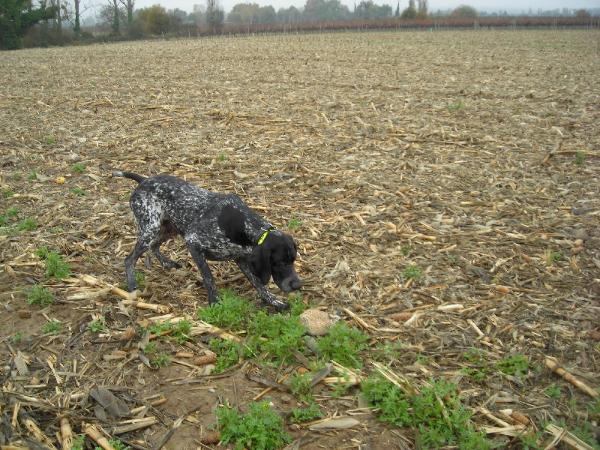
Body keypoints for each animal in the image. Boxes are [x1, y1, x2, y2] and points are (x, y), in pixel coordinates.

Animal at [110, 171, 302, 312]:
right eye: (280, 263)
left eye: (293, 260)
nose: (298, 285)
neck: (243, 225)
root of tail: (143, 181)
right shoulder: (193, 242)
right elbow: (209, 278)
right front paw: (214, 302)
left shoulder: (242, 258)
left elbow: (258, 284)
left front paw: (273, 301)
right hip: (151, 229)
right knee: (130, 259)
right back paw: (132, 285)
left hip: (167, 229)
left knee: (155, 246)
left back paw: (167, 263)